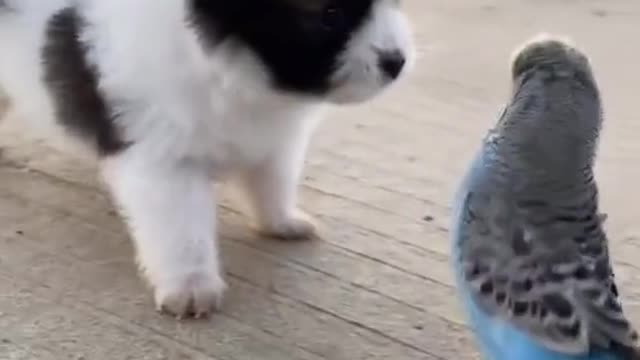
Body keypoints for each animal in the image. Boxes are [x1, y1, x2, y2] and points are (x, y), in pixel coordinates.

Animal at [0, 0, 416, 316]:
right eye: (328, 14)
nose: (397, 62)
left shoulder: (273, 141)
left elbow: (272, 182)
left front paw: (281, 221)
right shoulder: (166, 165)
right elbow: (182, 231)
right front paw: (191, 285)